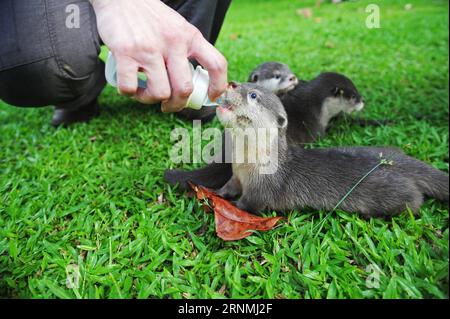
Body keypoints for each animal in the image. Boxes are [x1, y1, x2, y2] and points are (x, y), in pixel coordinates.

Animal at [214, 83, 446, 218]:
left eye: (253, 95)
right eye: (242, 84)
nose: (232, 84)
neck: (248, 164)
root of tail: (402, 161)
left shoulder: (263, 187)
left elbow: (249, 204)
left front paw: (228, 205)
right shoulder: (237, 175)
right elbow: (229, 186)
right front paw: (216, 192)